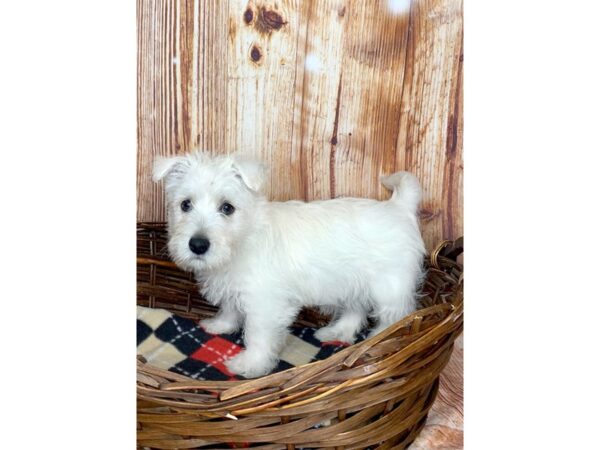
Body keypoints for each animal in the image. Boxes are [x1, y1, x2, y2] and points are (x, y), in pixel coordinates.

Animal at [155, 151, 426, 376]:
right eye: (185, 204)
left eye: (227, 208)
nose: (198, 245)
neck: (244, 238)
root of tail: (398, 206)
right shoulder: (236, 287)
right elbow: (230, 308)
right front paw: (219, 325)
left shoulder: (265, 304)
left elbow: (257, 335)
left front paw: (250, 364)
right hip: (351, 282)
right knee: (355, 310)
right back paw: (336, 332)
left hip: (389, 287)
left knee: (396, 316)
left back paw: (381, 339)